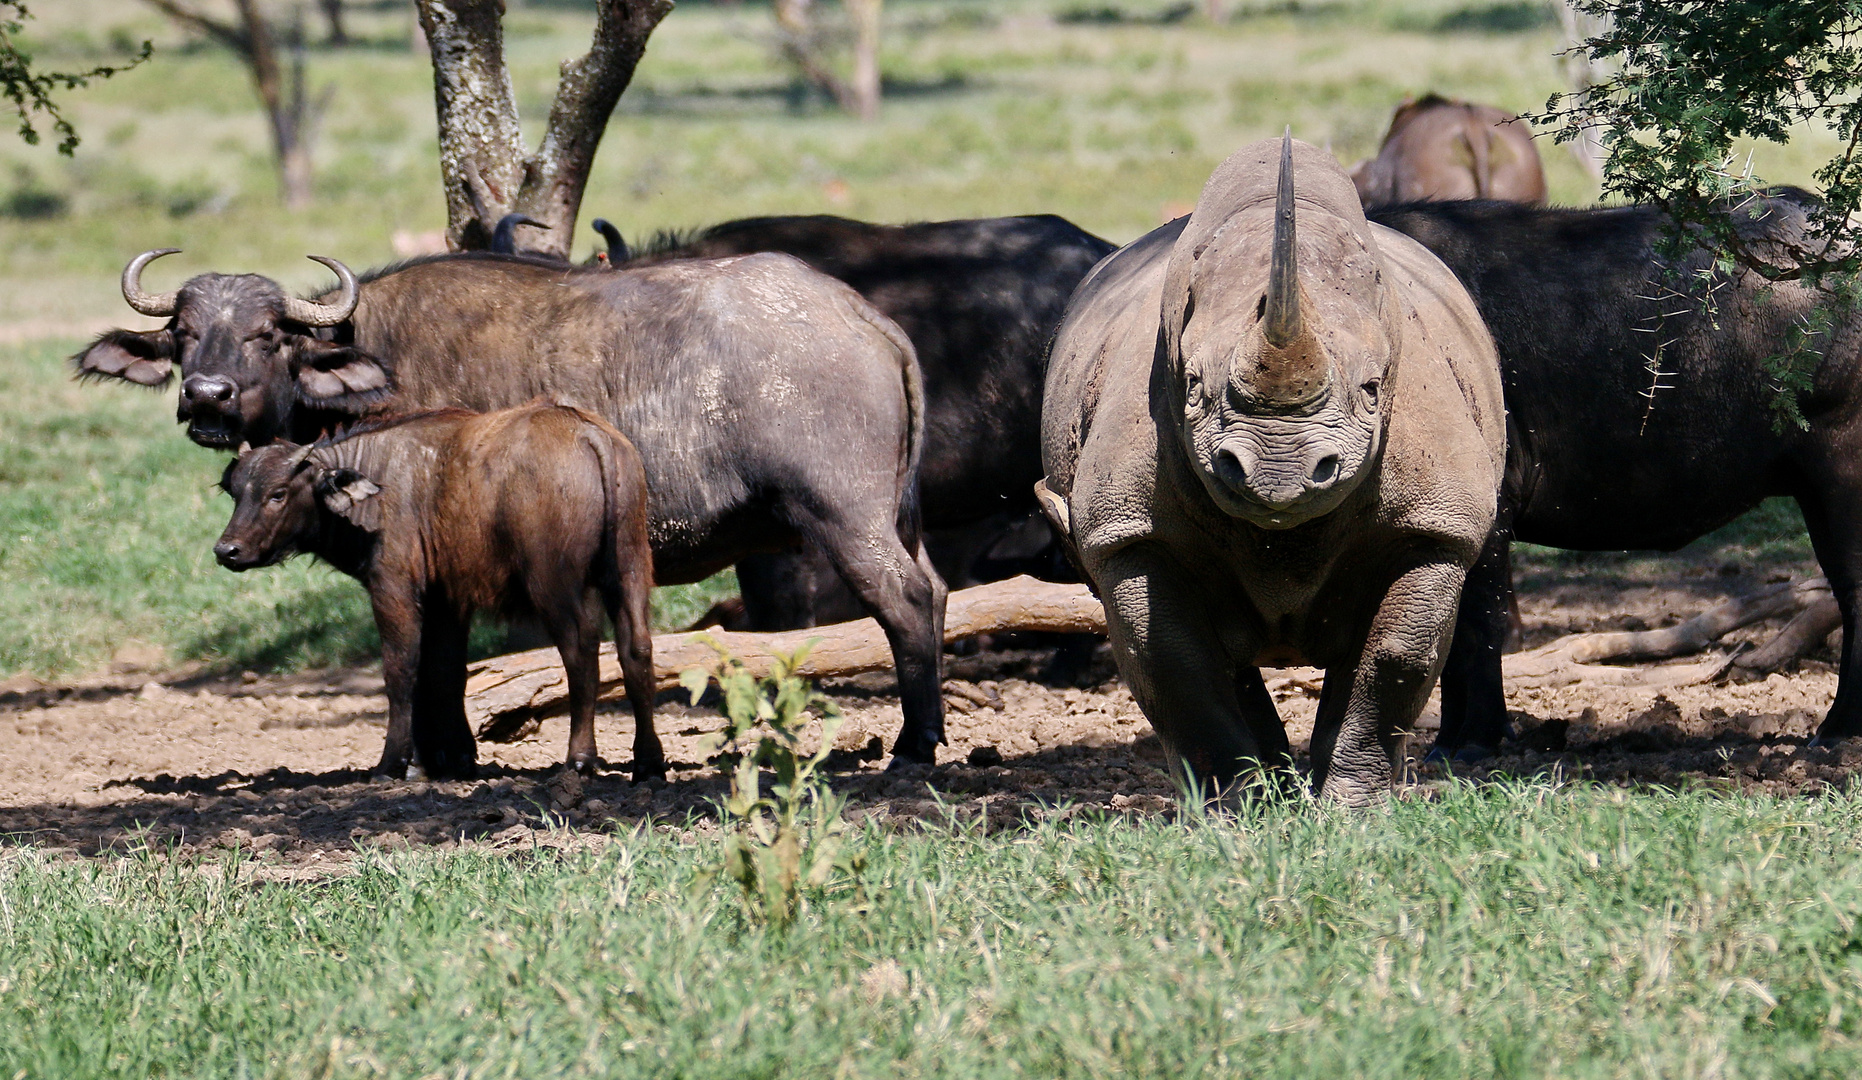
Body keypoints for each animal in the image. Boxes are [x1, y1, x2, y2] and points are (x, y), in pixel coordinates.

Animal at [215, 400, 662, 782]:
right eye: (236, 492)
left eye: (278, 493)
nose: (227, 550)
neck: (376, 484)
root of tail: (588, 432)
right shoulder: (447, 599)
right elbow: (447, 672)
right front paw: (453, 759)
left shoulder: (393, 587)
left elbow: (402, 669)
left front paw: (394, 763)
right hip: (630, 568)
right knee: (636, 648)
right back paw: (648, 762)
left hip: (554, 582)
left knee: (581, 648)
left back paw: (580, 758)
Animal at [1042, 136, 1504, 800]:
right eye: (1190, 385)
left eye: (1372, 388)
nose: (1279, 473)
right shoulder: (1126, 533)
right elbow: (1177, 666)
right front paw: (1233, 813)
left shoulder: (1436, 524)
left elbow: (1395, 660)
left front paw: (1354, 809)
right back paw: (1268, 794)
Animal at [1370, 189, 1862, 756]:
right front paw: (1448, 742)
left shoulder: (1489, 514)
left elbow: (1477, 626)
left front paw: (1475, 741)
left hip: (1842, 476)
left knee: (1854, 592)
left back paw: (1838, 729)